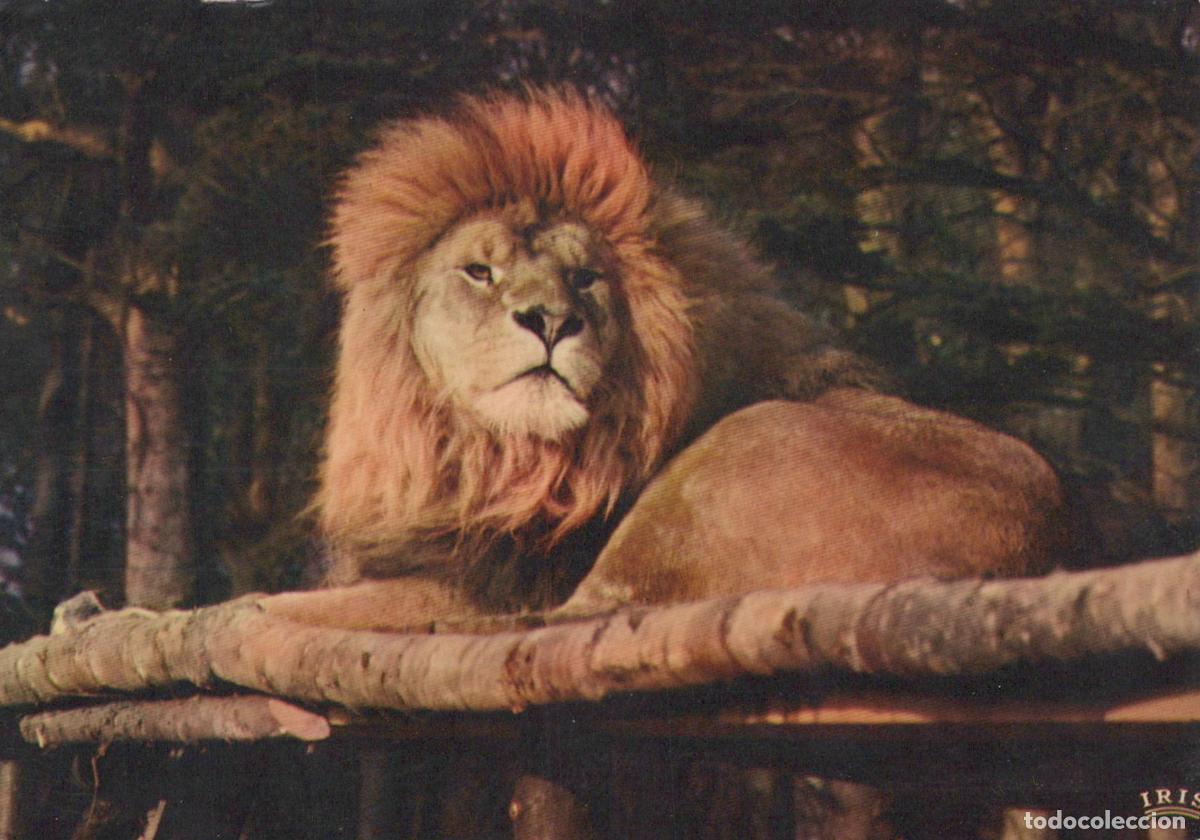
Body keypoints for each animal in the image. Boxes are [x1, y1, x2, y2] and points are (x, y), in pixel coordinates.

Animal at [264, 88, 1072, 633]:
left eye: (585, 277)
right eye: (479, 272)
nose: (552, 319)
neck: (489, 455)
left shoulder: (484, 578)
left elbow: (268, 606)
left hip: (737, 451)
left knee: (577, 611)